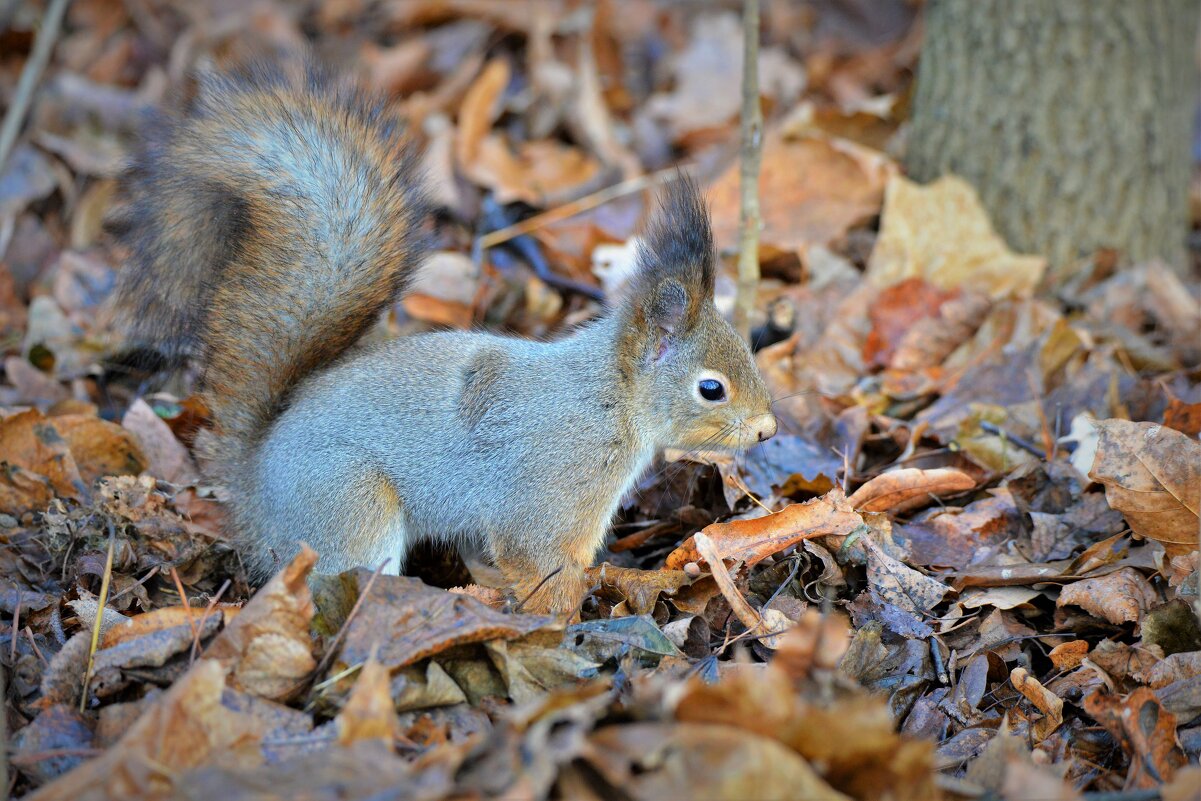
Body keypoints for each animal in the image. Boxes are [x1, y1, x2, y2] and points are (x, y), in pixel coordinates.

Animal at [112, 62, 778, 614]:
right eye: (711, 388)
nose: (769, 429)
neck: (609, 398)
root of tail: (253, 487)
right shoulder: (549, 496)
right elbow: (543, 570)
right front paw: (560, 628)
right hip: (349, 508)